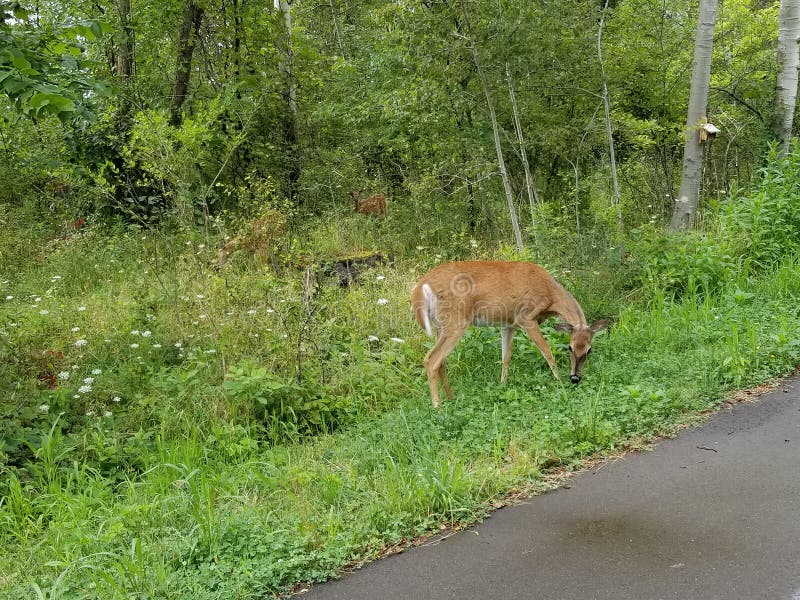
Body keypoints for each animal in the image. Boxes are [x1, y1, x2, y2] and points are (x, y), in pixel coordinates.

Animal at [411, 261, 609, 407]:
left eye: (589, 350)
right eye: (569, 347)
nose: (575, 377)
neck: (550, 295)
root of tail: (421, 286)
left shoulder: (508, 325)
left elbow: (506, 356)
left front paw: (502, 385)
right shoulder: (526, 318)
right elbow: (547, 351)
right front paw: (559, 381)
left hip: (441, 325)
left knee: (441, 361)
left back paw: (451, 399)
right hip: (456, 321)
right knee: (431, 359)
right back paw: (437, 406)